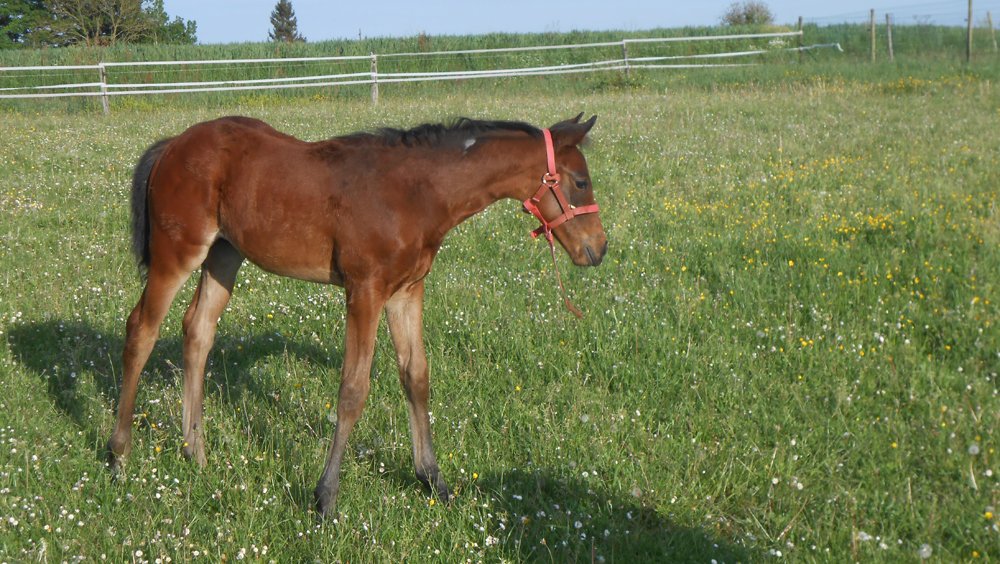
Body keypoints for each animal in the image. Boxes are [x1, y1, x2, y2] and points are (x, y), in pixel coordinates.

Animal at [105, 113, 608, 516]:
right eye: (580, 181)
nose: (599, 249)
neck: (415, 193)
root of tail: (173, 145)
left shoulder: (407, 291)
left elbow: (416, 377)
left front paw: (434, 482)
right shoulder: (365, 290)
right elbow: (352, 390)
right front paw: (325, 497)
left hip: (224, 255)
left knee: (197, 332)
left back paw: (196, 453)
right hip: (177, 254)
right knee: (141, 330)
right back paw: (118, 455)